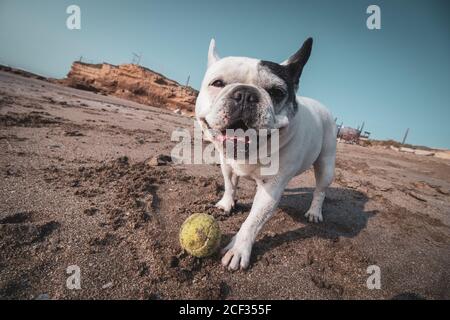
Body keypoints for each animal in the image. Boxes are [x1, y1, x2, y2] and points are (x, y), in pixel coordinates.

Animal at [195, 38, 336, 272]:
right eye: (217, 83)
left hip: (326, 163)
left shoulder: (270, 189)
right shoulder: (227, 164)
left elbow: (253, 220)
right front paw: (227, 203)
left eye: (277, 92)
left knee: (320, 190)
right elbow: (229, 184)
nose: (245, 94)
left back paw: (315, 212)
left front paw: (238, 248)